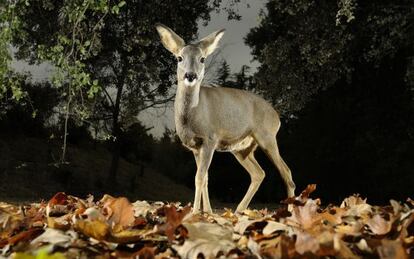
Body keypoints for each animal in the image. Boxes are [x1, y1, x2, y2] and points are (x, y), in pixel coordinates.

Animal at [155, 23, 294, 214]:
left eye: (202, 59)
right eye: (179, 58)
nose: (190, 76)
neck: (192, 116)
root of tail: (277, 117)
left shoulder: (210, 139)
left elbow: (199, 178)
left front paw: (194, 213)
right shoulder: (195, 147)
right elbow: (205, 178)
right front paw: (208, 212)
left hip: (267, 137)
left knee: (286, 172)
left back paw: (291, 212)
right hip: (242, 149)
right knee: (259, 173)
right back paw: (239, 210)